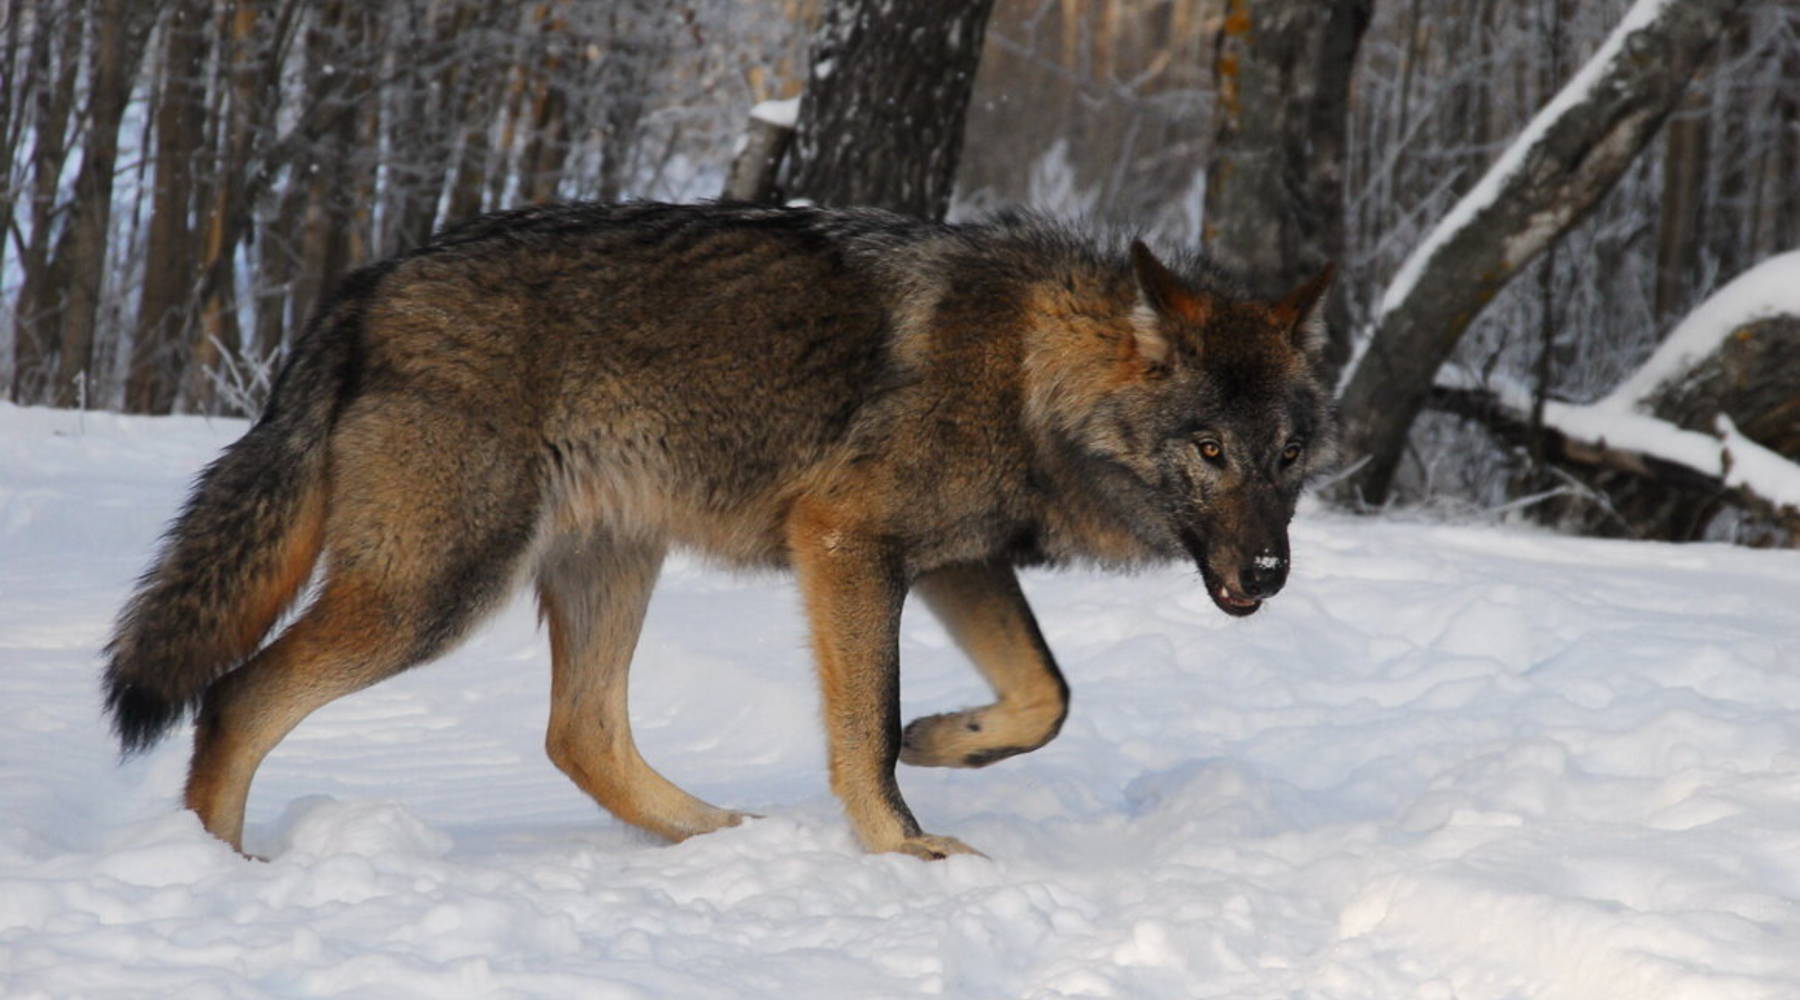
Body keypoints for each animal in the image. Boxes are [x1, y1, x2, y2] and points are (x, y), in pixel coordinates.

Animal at [102, 201, 1339, 859]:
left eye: (1287, 457)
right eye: (1209, 451)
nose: (1270, 569)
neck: (1032, 371)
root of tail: (364, 285)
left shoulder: (956, 561)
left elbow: (1047, 694)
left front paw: (944, 737)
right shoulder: (847, 542)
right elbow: (863, 730)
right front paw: (905, 846)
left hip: (606, 565)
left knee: (580, 734)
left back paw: (720, 831)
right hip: (434, 598)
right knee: (236, 697)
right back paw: (219, 872)